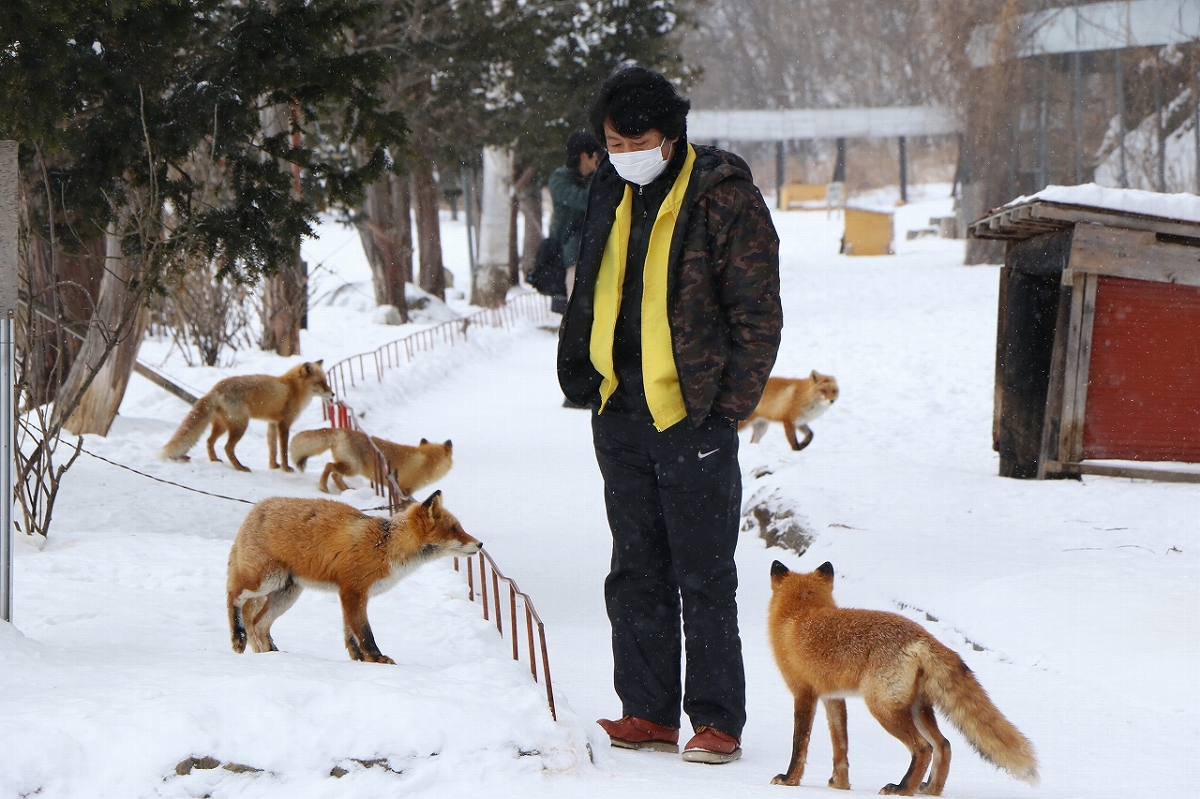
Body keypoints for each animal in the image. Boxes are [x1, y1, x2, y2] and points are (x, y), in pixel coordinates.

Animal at [160, 362, 333, 472]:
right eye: (321, 382)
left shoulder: (272, 423)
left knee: (209, 441)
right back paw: (240, 467)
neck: (293, 389)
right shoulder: (284, 424)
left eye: (326, 381)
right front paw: (285, 468)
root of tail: (215, 388)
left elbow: (273, 449)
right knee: (227, 447)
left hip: (223, 426)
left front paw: (273, 466)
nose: (333, 394)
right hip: (241, 425)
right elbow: (283, 450)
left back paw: (215, 460)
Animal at [226, 489, 480, 662]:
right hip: (266, 580)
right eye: (454, 529)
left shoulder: (350, 594)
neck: (385, 546)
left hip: (286, 592)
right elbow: (364, 632)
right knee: (234, 596)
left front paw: (359, 659)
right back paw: (239, 637)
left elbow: (351, 634)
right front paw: (377, 659)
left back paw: (271, 655)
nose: (480, 544)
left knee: (258, 623)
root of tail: (257, 508)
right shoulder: (353, 591)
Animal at [290, 427, 453, 494]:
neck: (427, 460)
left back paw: (346, 490)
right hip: (353, 468)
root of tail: (342, 430)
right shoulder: (405, 489)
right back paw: (323, 487)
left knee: (335, 475)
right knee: (329, 466)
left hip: (349, 468)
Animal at [768, 556, 1041, 791]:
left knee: (923, 748)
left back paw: (901, 789)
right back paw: (930, 790)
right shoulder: (833, 697)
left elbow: (799, 743)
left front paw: (789, 779)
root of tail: (922, 635)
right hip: (916, 708)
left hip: (883, 708)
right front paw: (841, 785)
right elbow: (841, 745)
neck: (800, 613)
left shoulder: (803, 692)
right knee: (944, 745)